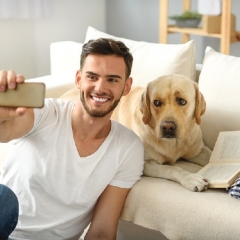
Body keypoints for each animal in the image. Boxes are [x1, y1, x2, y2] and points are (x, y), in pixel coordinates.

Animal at [60, 74, 212, 192]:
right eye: (157, 102)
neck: (173, 144)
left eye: (182, 101)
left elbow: (211, 156)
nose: (168, 127)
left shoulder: (198, 150)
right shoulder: (146, 164)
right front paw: (191, 178)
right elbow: (173, 169)